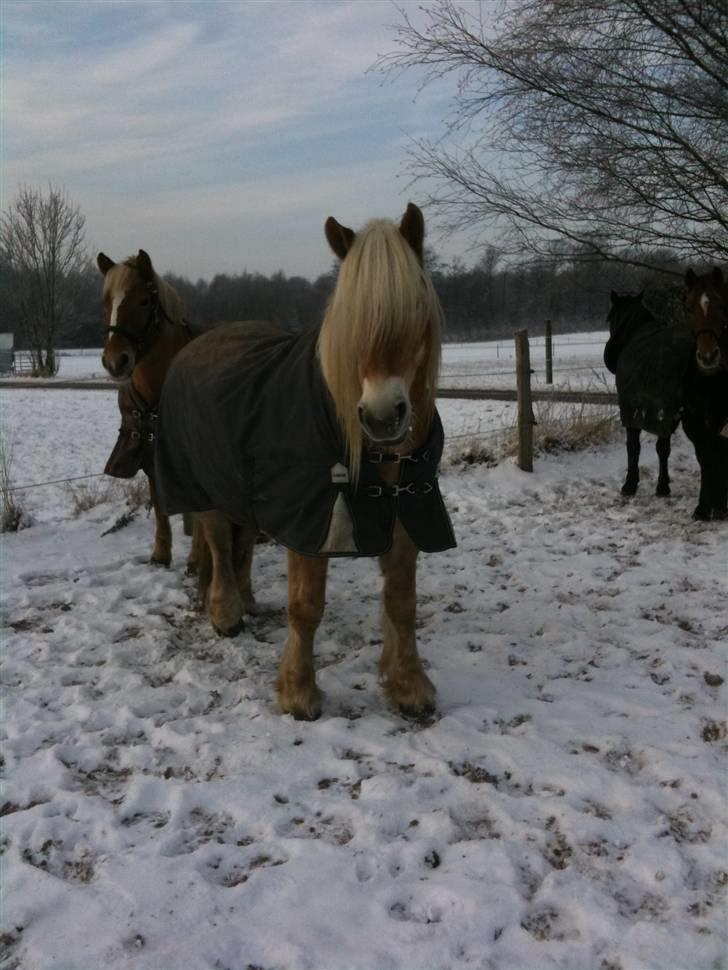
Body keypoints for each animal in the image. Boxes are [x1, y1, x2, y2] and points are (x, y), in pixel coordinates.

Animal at [97, 250, 193, 564]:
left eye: (144, 301)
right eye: (106, 303)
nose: (115, 361)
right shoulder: (149, 448)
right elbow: (159, 501)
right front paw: (161, 553)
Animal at [155, 204, 456, 720]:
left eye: (416, 308)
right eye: (351, 321)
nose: (381, 417)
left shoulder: (406, 515)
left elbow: (401, 602)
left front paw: (408, 686)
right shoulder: (310, 522)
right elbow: (306, 607)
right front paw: (298, 694)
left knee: (240, 545)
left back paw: (247, 600)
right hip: (206, 487)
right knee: (217, 543)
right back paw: (226, 613)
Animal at [604, 290, 692, 496]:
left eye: (610, 317)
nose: (609, 356)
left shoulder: (634, 411)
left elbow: (634, 447)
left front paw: (631, 484)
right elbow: (663, 448)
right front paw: (663, 483)